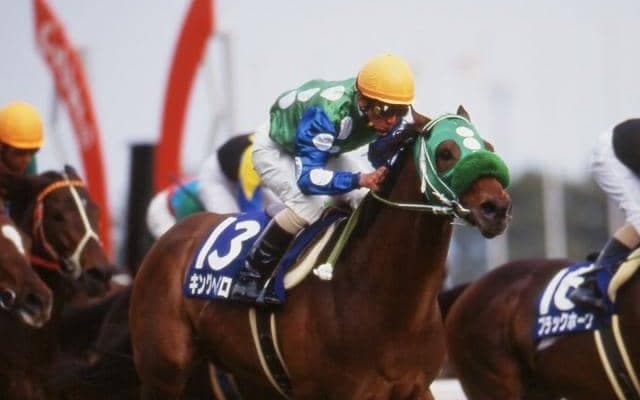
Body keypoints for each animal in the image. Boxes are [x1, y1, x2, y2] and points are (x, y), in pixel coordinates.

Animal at [130, 106, 512, 399]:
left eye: (489, 147)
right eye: (445, 152)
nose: (496, 208)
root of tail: (172, 235)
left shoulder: (415, 388)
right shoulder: (329, 392)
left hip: (248, 379)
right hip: (165, 371)